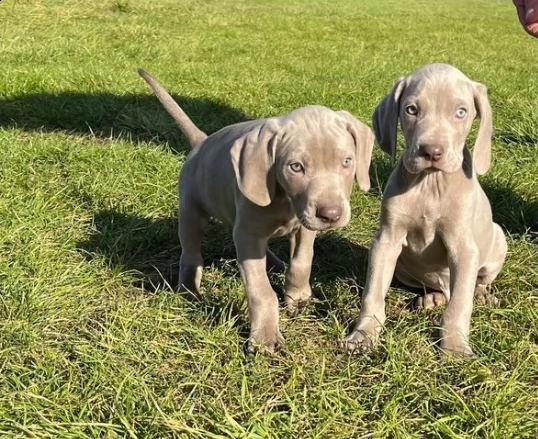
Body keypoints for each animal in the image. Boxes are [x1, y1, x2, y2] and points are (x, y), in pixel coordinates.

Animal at [138, 70, 372, 356]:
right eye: (296, 167)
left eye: (347, 161)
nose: (331, 214)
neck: (286, 201)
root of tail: (202, 142)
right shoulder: (249, 234)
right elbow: (261, 290)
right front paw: (264, 337)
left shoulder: (302, 227)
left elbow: (302, 262)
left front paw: (298, 297)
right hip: (192, 212)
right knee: (191, 254)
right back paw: (188, 289)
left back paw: (276, 263)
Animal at [342, 63, 504, 360]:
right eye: (411, 110)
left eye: (461, 112)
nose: (432, 152)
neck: (430, 184)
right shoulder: (386, 241)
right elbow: (373, 292)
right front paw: (364, 334)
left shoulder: (464, 248)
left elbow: (460, 304)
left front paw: (455, 346)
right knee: (443, 290)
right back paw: (433, 298)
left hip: (498, 239)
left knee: (471, 286)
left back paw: (481, 294)